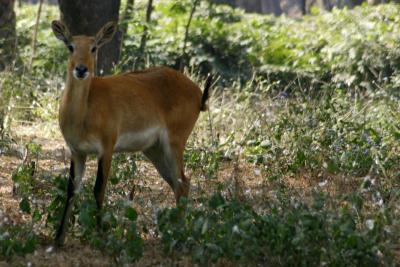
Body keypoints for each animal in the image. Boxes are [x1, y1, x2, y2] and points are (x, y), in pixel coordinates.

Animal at [50, 21, 212, 247]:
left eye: (94, 47)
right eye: (70, 46)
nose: (81, 69)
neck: (84, 113)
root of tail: (199, 94)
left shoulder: (106, 148)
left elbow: (99, 188)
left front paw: (101, 235)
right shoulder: (77, 151)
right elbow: (71, 189)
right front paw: (58, 239)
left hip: (174, 143)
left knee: (182, 182)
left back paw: (178, 236)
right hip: (154, 150)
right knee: (180, 183)